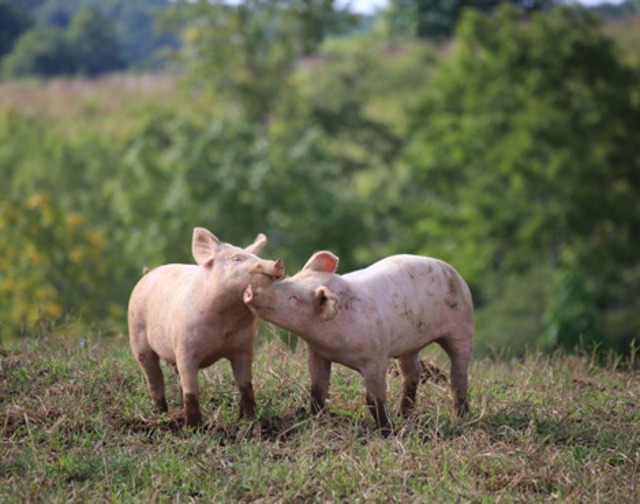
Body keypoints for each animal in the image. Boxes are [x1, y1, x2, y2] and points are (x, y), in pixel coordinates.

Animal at [127, 226, 282, 428]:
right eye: (237, 259)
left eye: (255, 256)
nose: (277, 262)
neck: (224, 325)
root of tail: (148, 273)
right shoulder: (184, 349)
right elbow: (192, 391)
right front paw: (193, 428)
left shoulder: (243, 347)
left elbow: (245, 386)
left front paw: (250, 421)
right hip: (137, 334)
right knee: (154, 376)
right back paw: (162, 414)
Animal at [245, 252, 476, 434]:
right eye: (288, 279)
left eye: (293, 298)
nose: (250, 291)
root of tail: (452, 270)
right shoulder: (318, 352)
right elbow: (318, 389)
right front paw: (316, 420)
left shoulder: (376, 356)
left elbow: (373, 399)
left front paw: (387, 432)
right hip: (410, 345)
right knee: (412, 372)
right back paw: (404, 414)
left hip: (462, 326)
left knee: (458, 375)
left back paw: (460, 418)